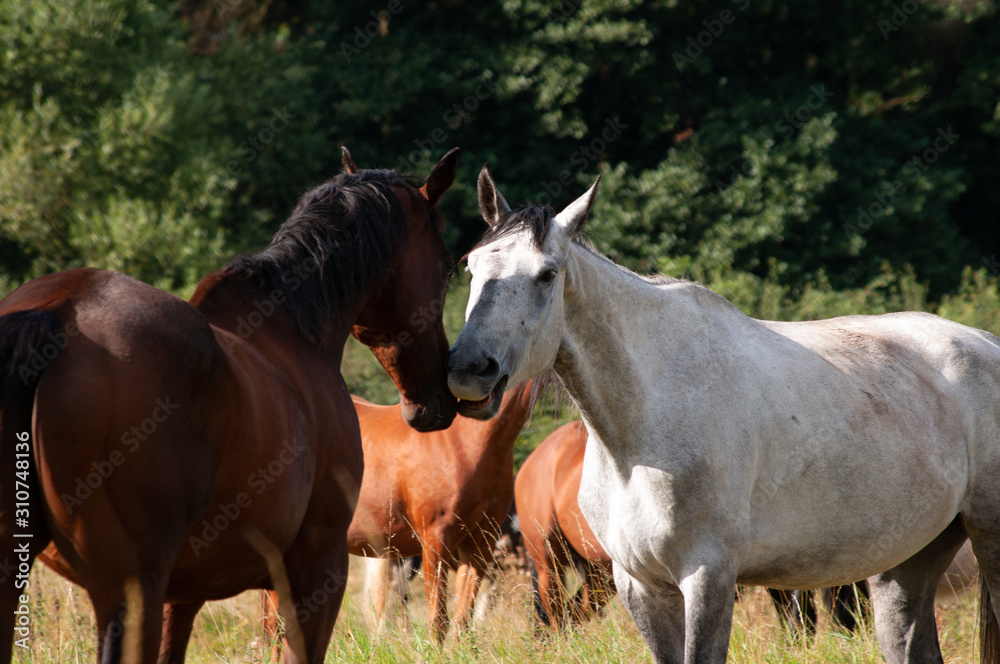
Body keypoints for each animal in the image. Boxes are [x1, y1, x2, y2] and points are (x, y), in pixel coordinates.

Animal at [0, 148, 460, 660]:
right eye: (447, 267)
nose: (438, 399)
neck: (292, 331)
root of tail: (57, 310)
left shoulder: (183, 595)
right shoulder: (317, 569)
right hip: (130, 590)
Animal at [450, 162, 1000, 664]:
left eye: (547, 274)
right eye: (472, 267)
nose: (469, 369)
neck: (644, 424)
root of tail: (986, 342)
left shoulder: (708, 578)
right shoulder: (641, 585)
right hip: (904, 563)